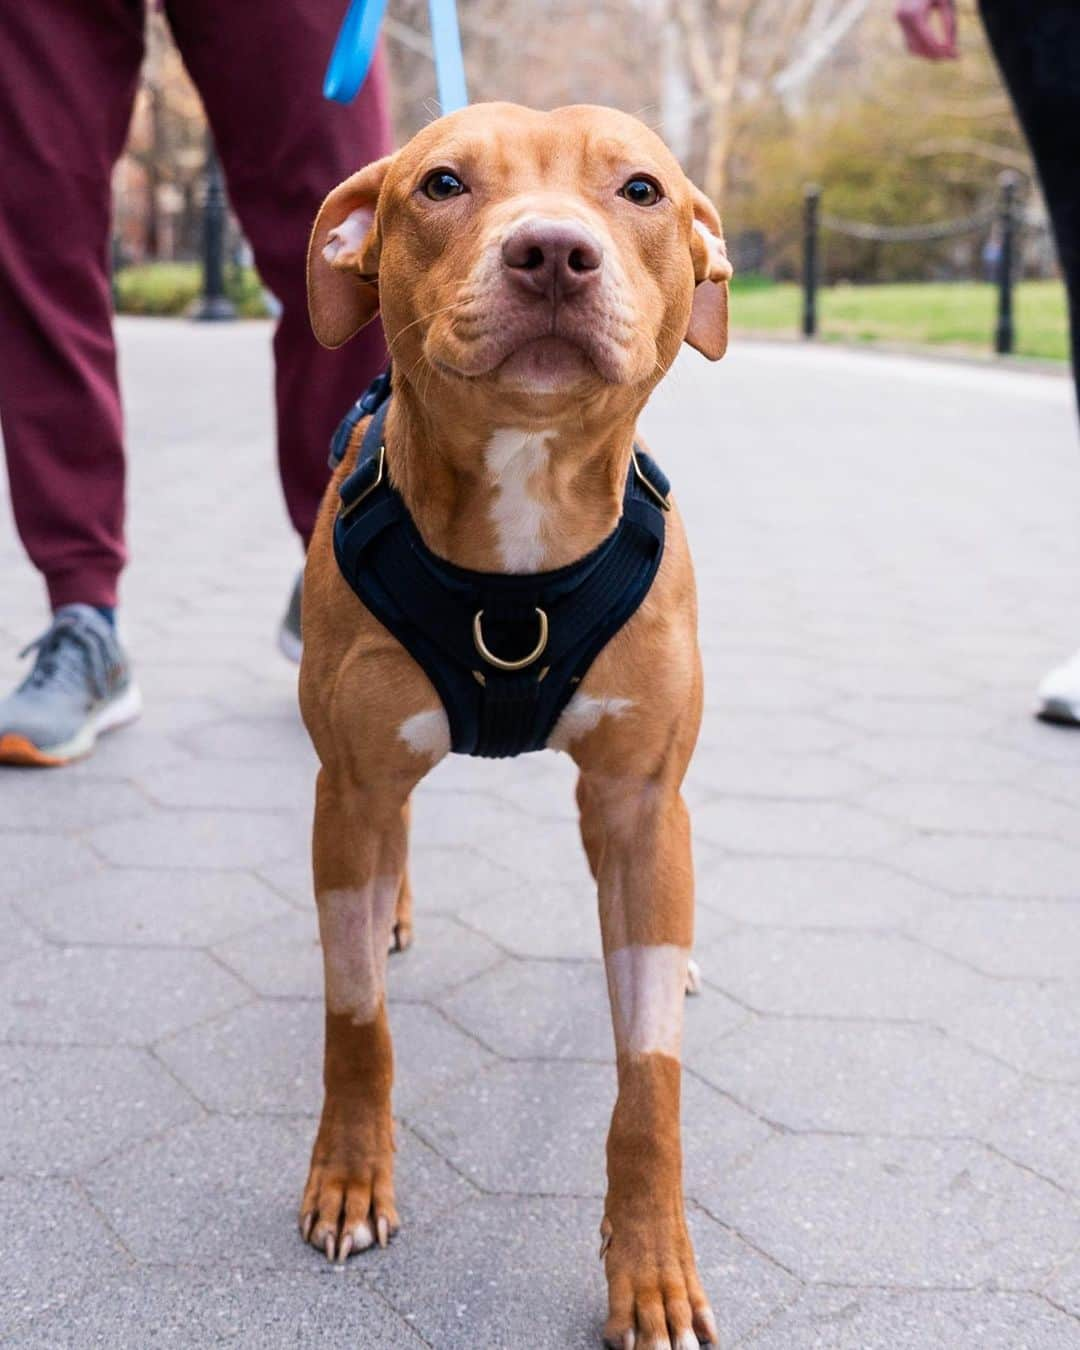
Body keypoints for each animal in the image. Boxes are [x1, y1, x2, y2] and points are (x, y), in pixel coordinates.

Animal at [299, 99, 729, 1344]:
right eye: (442, 184)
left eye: (640, 191)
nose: (551, 251)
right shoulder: (349, 783)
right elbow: (357, 1019)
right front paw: (350, 1178)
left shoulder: (638, 806)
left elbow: (649, 1082)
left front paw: (653, 1267)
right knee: (386, 857)